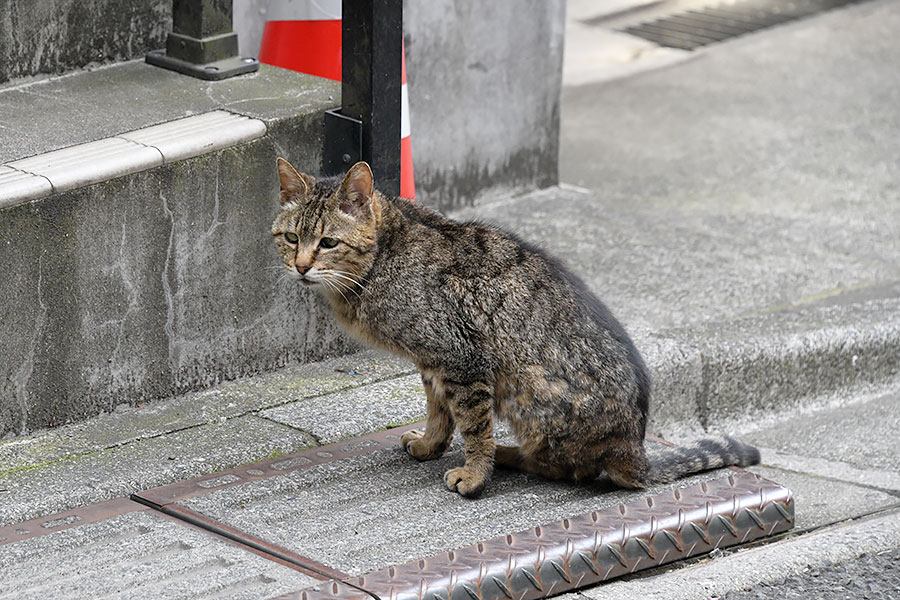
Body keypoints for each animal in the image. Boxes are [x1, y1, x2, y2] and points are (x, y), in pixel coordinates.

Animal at [274, 159, 760, 496]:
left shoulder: (460, 359)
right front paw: (431, 445)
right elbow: (438, 411)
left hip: (527, 390)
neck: (382, 258)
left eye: (328, 242)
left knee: (568, 467)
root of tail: (635, 449)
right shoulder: (433, 362)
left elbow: (473, 426)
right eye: (291, 238)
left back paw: (510, 455)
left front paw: (474, 475)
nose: (301, 267)